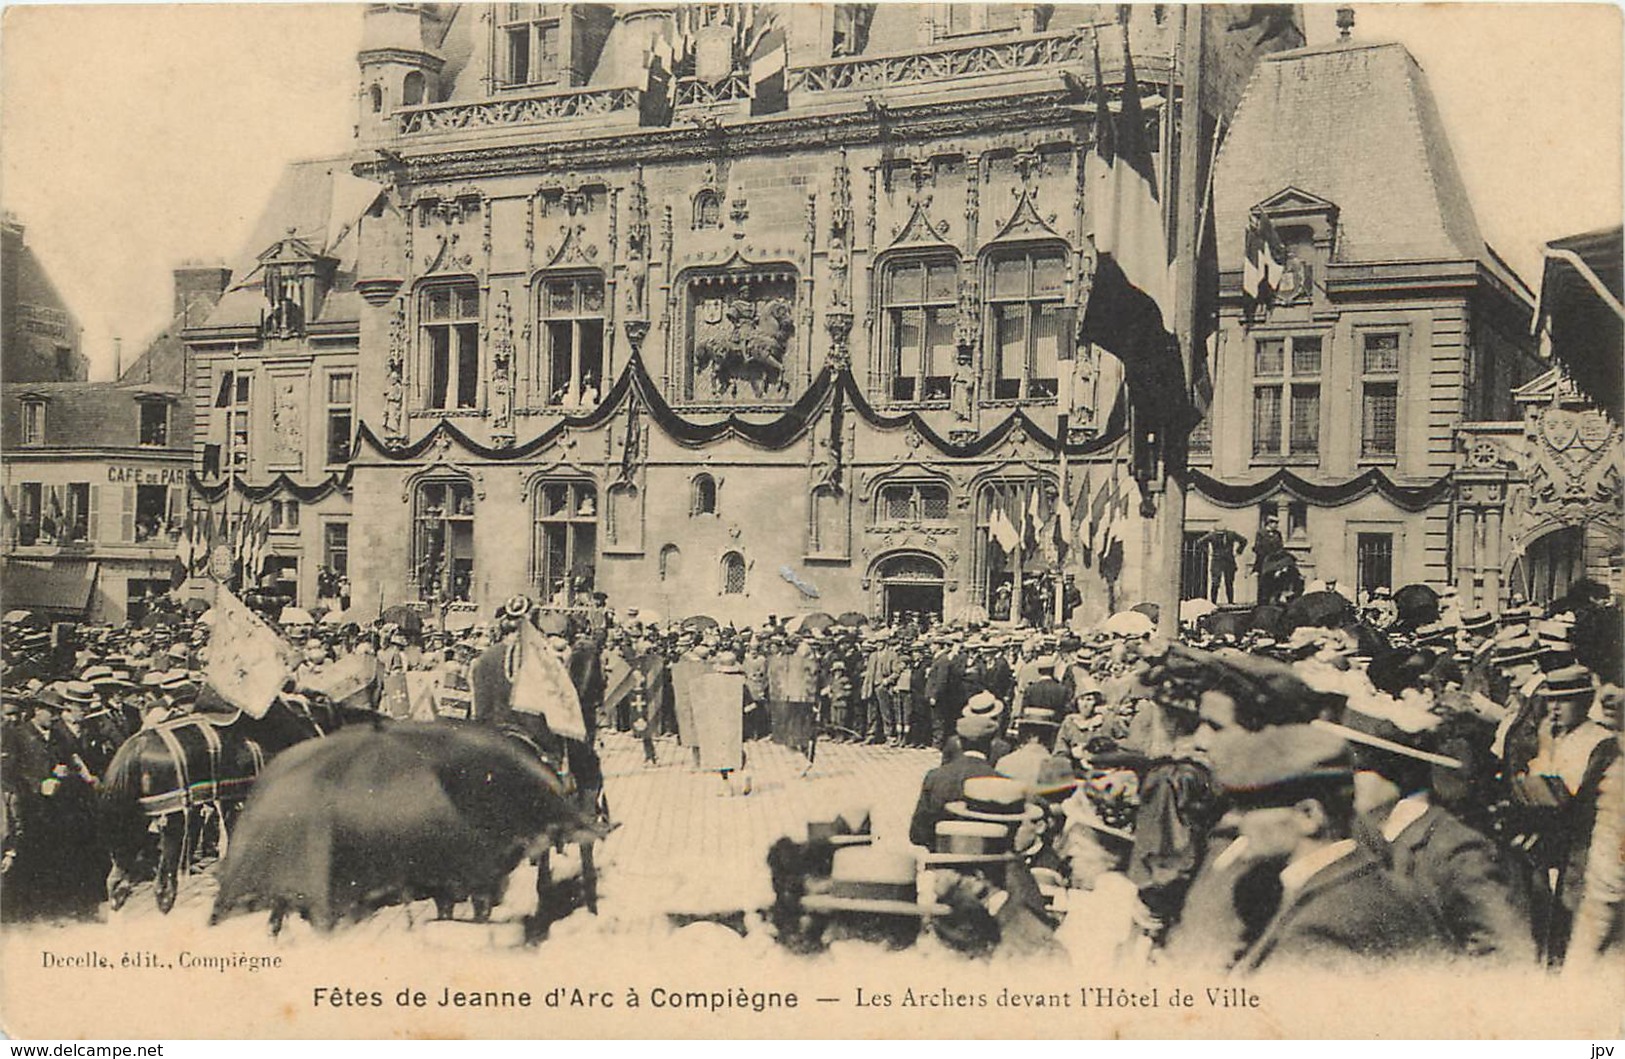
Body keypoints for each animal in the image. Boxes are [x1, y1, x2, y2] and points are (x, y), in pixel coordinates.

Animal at [103, 691, 375, 916]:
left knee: (121, 873)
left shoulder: (232, 798)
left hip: (138, 815)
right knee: (164, 876)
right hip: (172, 814)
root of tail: (138, 743)